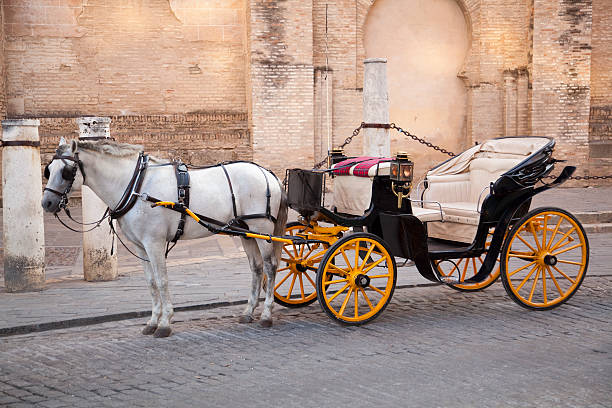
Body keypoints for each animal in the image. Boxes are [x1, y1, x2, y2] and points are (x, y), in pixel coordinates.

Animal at [41, 139, 288, 336]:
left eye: (66, 171)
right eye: (48, 170)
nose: (46, 203)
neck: (135, 186)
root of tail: (267, 173)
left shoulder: (154, 243)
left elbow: (162, 280)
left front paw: (165, 323)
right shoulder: (141, 247)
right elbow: (151, 282)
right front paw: (152, 321)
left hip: (262, 229)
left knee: (270, 267)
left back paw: (266, 314)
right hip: (246, 232)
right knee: (256, 268)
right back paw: (248, 311)